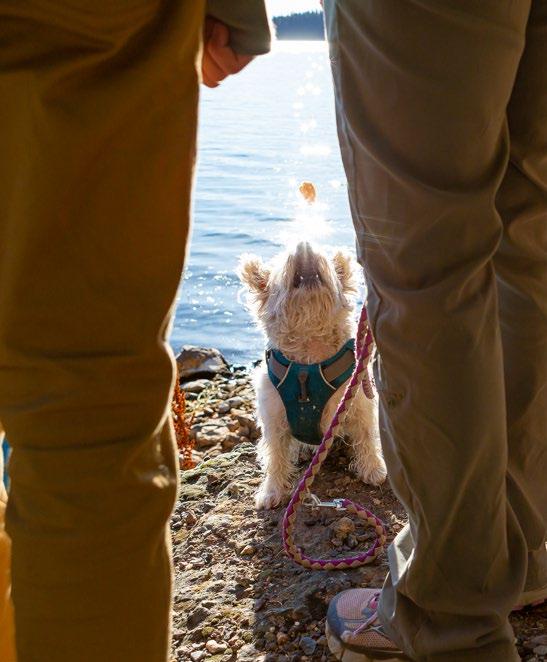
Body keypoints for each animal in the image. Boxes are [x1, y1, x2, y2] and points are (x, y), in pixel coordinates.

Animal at [238, 241, 387, 510]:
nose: (304, 244)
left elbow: (367, 436)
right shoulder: (273, 417)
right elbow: (275, 455)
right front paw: (272, 491)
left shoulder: (359, 402)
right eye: (282, 260)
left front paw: (373, 469)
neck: (308, 365)